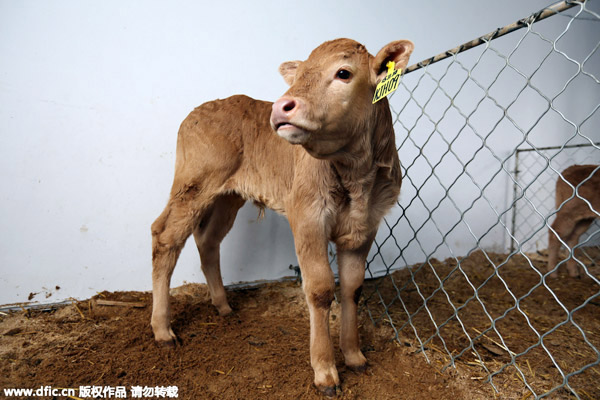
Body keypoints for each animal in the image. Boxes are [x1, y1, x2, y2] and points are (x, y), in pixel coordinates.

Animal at [150, 39, 412, 396]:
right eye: (297, 77)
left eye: (344, 73)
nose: (281, 106)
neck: (356, 176)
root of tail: (202, 109)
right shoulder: (307, 216)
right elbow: (320, 289)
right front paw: (325, 371)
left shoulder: (366, 225)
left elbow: (353, 288)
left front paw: (354, 355)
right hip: (193, 184)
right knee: (164, 236)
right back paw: (163, 330)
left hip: (228, 196)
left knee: (208, 240)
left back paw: (223, 306)